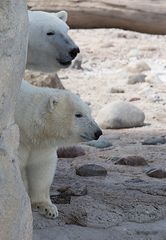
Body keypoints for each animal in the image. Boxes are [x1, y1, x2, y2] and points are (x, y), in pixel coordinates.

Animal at [15, 80, 102, 218]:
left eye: (90, 113)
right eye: (78, 114)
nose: (98, 132)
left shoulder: (41, 146)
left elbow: (41, 168)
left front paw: (47, 208)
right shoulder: (21, 141)